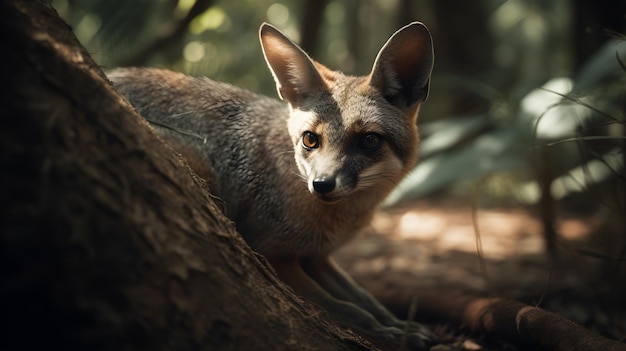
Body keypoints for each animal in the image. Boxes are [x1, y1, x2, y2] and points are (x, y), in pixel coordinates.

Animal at [108, 21, 434, 350]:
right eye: (310, 139)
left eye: (369, 140)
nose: (321, 184)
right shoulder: (272, 254)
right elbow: (350, 309)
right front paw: (391, 334)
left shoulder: (318, 257)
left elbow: (366, 299)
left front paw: (402, 327)